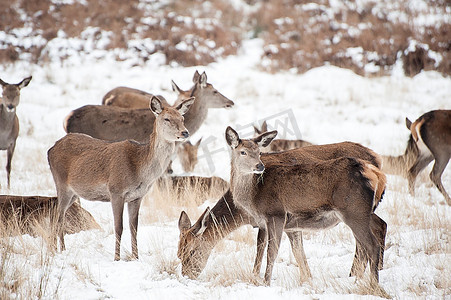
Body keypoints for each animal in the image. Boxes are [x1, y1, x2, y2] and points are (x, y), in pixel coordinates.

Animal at [48, 96, 195, 260]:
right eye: (167, 118)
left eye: (182, 118)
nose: (185, 132)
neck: (140, 170)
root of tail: (51, 149)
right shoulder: (116, 191)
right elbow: (119, 227)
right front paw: (116, 258)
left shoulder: (137, 197)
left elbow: (134, 228)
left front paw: (136, 257)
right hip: (61, 183)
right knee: (58, 218)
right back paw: (58, 251)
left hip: (74, 192)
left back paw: (59, 250)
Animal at [178, 141, 386, 284]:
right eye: (178, 254)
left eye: (192, 251)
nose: (187, 275)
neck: (240, 212)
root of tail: (378, 162)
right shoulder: (282, 224)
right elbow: (296, 252)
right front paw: (306, 279)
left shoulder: (267, 220)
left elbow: (261, 249)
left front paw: (256, 278)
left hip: (356, 211)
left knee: (374, 232)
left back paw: (361, 275)